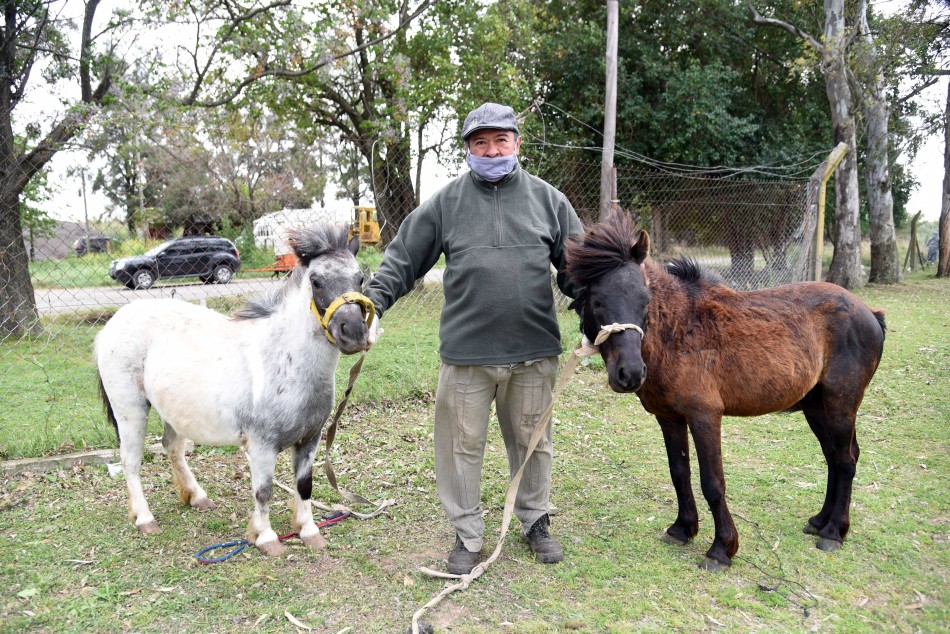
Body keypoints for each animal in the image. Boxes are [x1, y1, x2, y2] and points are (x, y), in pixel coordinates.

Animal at [95, 224, 373, 555]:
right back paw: (145, 519)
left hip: (173, 411)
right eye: (316, 281)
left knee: (171, 448)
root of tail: (112, 324)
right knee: (131, 461)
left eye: (360, 279)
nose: (354, 334)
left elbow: (304, 485)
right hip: (130, 410)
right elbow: (263, 491)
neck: (284, 361)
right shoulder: (262, 445)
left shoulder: (310, 439)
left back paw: (197, 497)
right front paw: (266, 538)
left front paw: (309, 531)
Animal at [565, 211, 885, 571]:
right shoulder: (669, 418)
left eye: (645, 301)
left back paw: (833, 532)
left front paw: (721, 549)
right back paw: (820, 521)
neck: (678, 333)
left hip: (841, 404)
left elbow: (713, 482)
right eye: (596, 301)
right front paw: (682, 529)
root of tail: (870, 313)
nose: (630, 374)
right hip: (815, 407)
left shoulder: (705, 416)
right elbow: (679, 473)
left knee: (845, 459)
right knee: (833, 456)